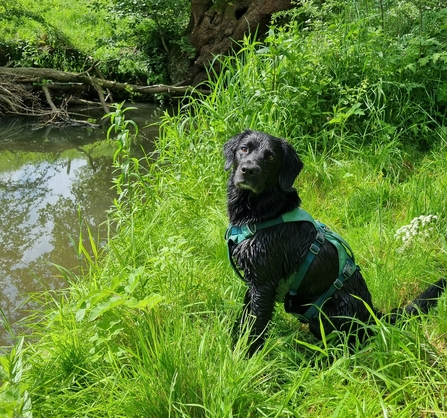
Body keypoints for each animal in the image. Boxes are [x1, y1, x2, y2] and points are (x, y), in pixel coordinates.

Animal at [226, 130, 446, 352]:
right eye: (244, 149)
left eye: (271, 157)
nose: (248, 170)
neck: (261, 213)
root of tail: (373, 315)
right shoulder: (253, 283)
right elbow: (243, 320)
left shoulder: (263, 285)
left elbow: (254, 327)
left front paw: (244, 355)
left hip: (324, 316)